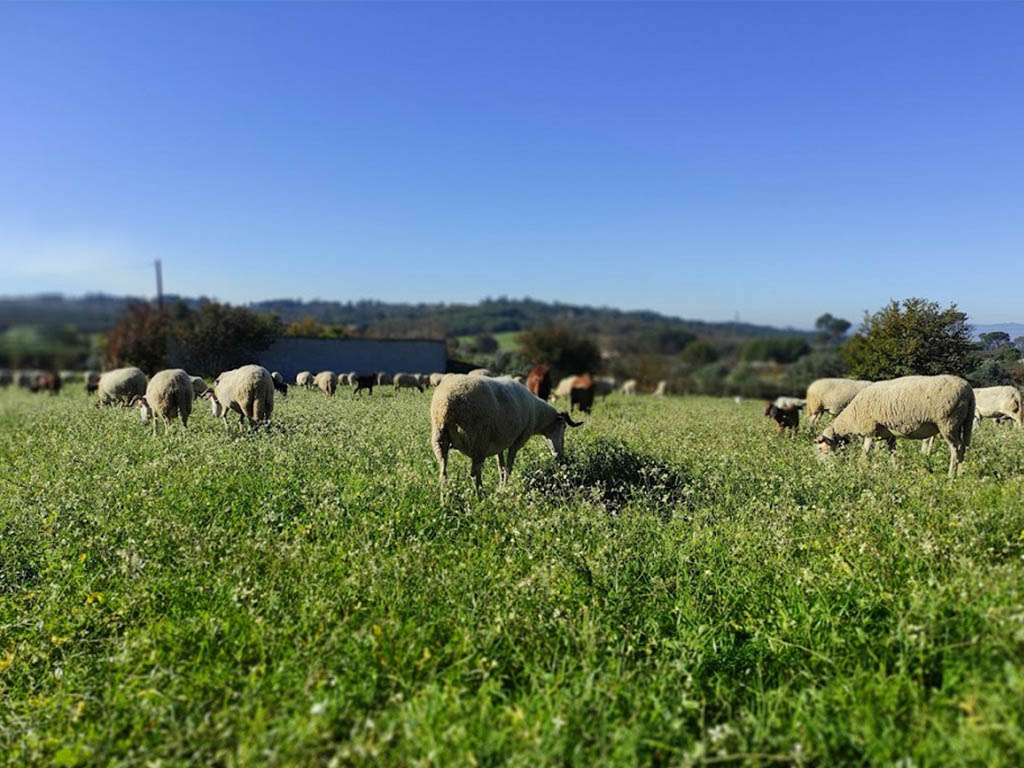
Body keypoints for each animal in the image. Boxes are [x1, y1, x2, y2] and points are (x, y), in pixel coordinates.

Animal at [428, 376, 581, 495]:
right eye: (563, 427)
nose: (559, 454)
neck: (537, 414)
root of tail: (447, 404)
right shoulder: (518, 440)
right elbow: (508, 467)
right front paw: (505, 488)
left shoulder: (499, 442)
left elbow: (500, 467)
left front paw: (501, 486)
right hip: (478, 440)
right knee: (474, 472)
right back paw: (480, 495)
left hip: (439, 438)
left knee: (443, 473)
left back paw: (444, 500)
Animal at [815, 376, 974, 479]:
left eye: (821, 449)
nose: (821, 468)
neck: (851, 417)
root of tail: (969, 390)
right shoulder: (888, 434)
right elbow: (893, 453)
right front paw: (896, 471)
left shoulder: (870, 430)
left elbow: (865, 453)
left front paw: (860, 470)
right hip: (962, 423)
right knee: (963, 447)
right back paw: (960, 474)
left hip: (948, 423)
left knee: (956, 448)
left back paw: (951, 476)